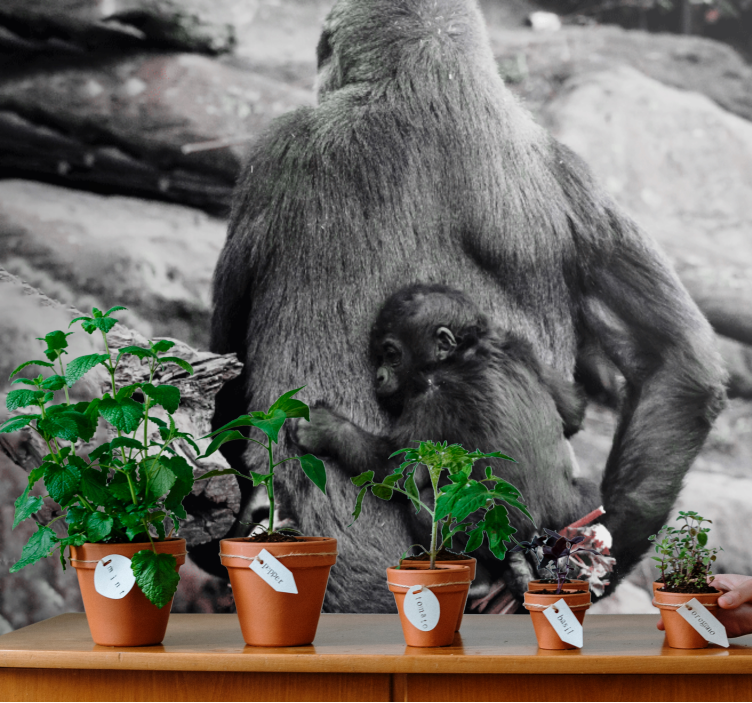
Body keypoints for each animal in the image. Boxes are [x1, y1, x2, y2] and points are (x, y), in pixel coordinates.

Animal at [291, 283, 600, 600]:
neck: (464, 351)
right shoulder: (519, 344)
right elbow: (573, 411)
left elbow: (401, 472)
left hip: (500, 533)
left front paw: (326, 429)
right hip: (574, 516)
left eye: (391, 354)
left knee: (428, 502)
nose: (378, 377)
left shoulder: (430, 396)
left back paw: (478, 582)